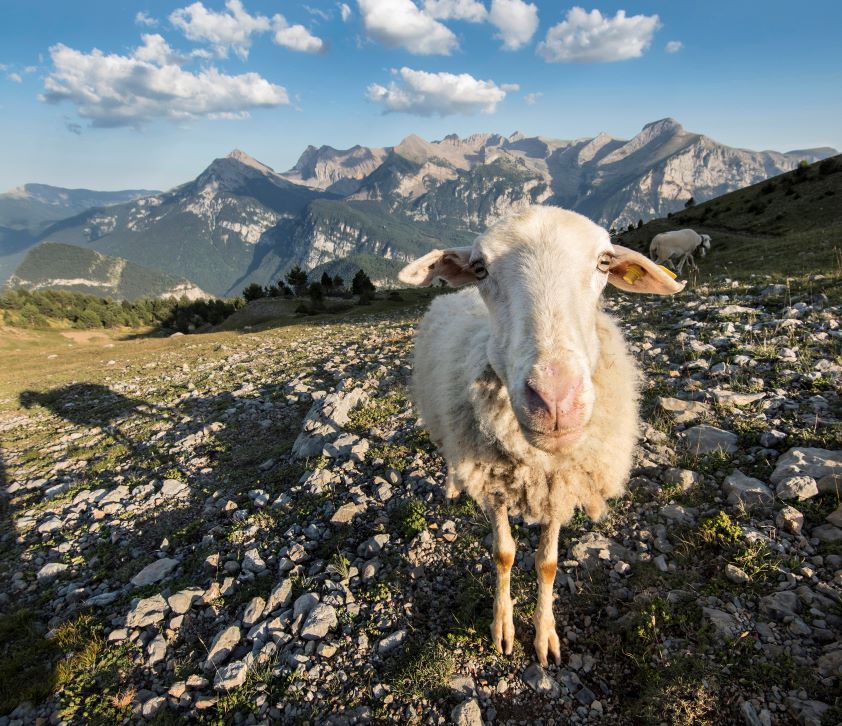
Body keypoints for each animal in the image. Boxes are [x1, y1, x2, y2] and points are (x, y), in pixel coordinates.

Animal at [398, 208, 684, 668]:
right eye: (480, 268)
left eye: (604, 262)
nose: (554, 399)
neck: (537, 463)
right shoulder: (493, 483)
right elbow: (504, 554)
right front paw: (503, 629)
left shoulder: (560, 484)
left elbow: (547, 563)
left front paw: (545, 635)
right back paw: (452, 484)